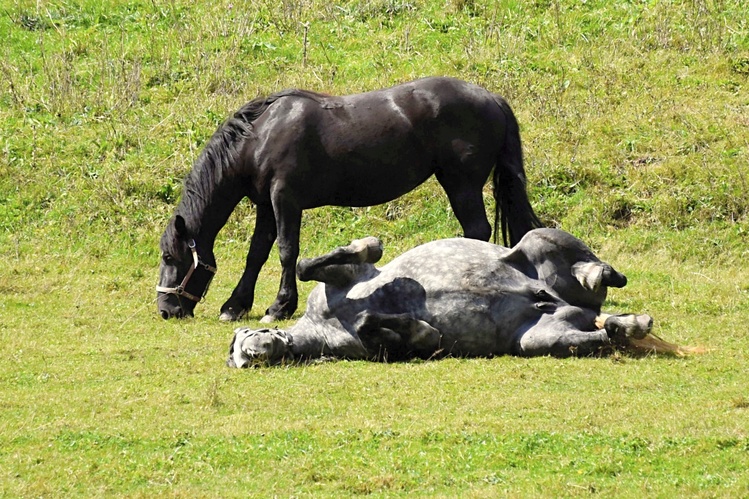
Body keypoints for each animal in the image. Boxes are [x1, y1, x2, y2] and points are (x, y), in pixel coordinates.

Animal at [159, 76, 544, 322]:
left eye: (169, 256)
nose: (166, 310)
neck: (260, 136)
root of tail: (491, 98)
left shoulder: (285, 200)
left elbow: (286, 251)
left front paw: (280, 306)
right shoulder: (267, 206)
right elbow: (257, 253)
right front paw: (235, 306)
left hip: (462, 184)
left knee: (476, 230)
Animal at [226, 229, 696, 368]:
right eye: (242, 358)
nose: (257, 349)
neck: (324, 324)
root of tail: (578, 306)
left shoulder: (345, 278)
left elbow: (310, 263)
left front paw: (369, 245)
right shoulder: (379, 348)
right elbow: (400, 333)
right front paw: (416, 326)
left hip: (539, 239)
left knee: (596, 269)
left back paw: (601, 276)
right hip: (541, 340)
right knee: (604, 333)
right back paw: (628, 324)